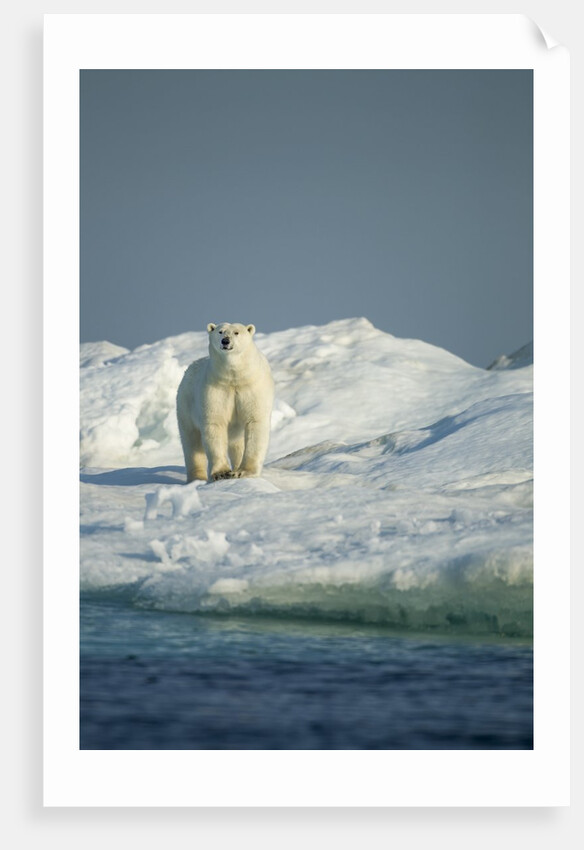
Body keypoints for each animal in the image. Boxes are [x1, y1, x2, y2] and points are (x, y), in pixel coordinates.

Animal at [176, 322, 274, 483]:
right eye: (220, 332)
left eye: (236, 332)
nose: (225, 341)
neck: (234, 377)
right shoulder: (215, 390)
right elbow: (215, 423)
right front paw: (221, 473)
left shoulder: (252, 387)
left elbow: (255, 422)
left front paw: (243, 472)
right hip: (185, 405)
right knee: (192, 442)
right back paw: (197, 478)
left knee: (236, 444)